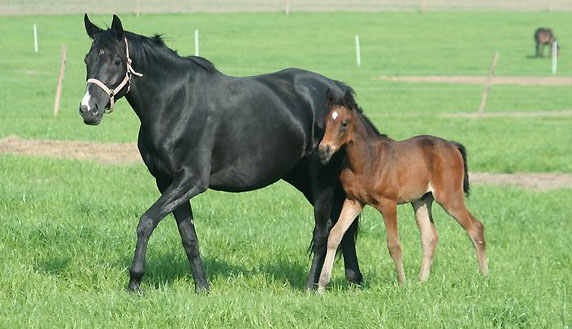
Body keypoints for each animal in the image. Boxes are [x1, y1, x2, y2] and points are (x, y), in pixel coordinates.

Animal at [79, 14, 362, 292]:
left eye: (116, 60)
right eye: (87, 59)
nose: (88, 109)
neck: (175, 103)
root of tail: (336, 88)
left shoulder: (192, 180)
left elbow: (146, 222)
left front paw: (135, 281)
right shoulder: (167, 182)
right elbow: (189, 237)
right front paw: (202, 288)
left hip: (320, 180)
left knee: (323, 230)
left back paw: (311, 287)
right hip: (303, 178)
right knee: (342, 225)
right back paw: (353, 279)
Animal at [318, 89, 488, 290]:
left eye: (344, 123)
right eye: (326, 122)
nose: (323, 150)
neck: (368, 161)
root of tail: (452, 145)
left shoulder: (388, 204)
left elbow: (394, 244)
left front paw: (402, 283)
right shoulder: (354, 201)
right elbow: (335, 235)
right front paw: (321, 285)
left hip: (450, 198)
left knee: (476, 227)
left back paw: (485, 276)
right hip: (421, 200)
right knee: (430, 237)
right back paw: (422, 281)